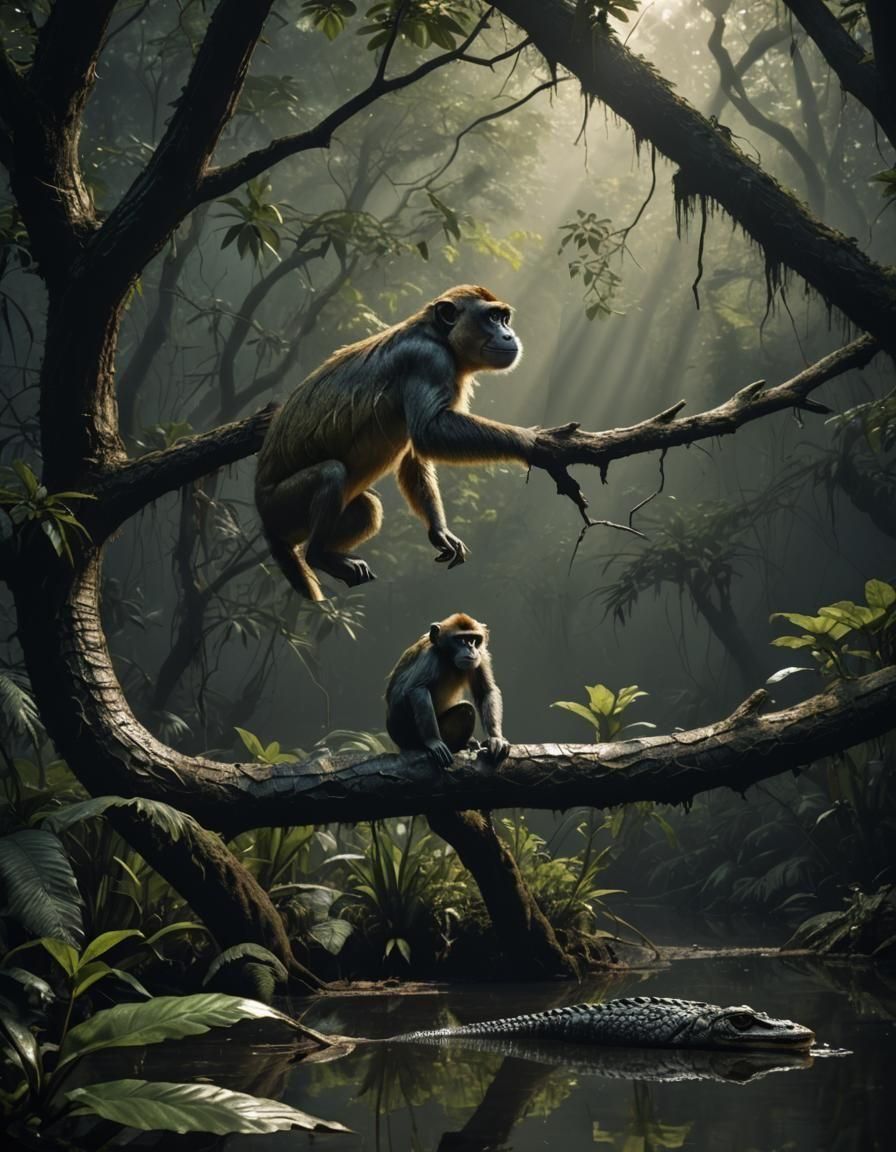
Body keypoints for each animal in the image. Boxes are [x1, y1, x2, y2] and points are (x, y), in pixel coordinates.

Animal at [255, 285, 541, 601]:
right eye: (492, 317)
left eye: (503, 318)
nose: (508, 334)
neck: (437, 334)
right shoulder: (429, 360)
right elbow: (429, 433)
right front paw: (525, 440)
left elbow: (415, 456)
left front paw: (439, 532)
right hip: (281, 505)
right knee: (331, 472)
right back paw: (318, 555)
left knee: (367, 509)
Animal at [385, 612, 510, 767]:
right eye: (460, 639)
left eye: (474, 639)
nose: (470, 647)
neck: (449, 659)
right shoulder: (432, 654)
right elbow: (417, 688)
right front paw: (434, 742)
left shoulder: (481, 655)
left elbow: (486, 691)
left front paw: (495, 738)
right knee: (466, 710)